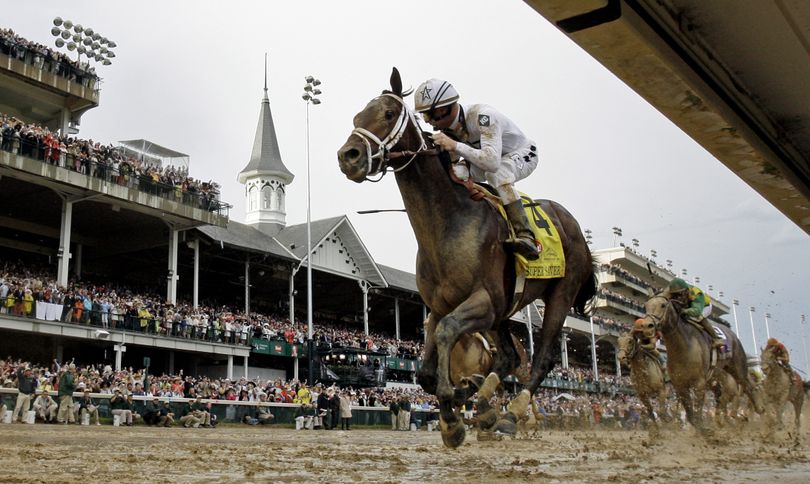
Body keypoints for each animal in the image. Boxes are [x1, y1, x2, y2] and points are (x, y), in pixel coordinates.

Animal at [334, 68, 592, 446]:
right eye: (356, 118)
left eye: (389, 113)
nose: (348, 156)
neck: (447, 225)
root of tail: (571, 223)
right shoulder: (439, 306)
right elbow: (427, 372)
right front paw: (459, 408)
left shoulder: (484, 300)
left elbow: (447, 335)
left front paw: (455, 415)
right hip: (503, 313)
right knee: (510, 357)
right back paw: (485, 403)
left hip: (559, 292)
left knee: (542, 358)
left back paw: (511, 414)